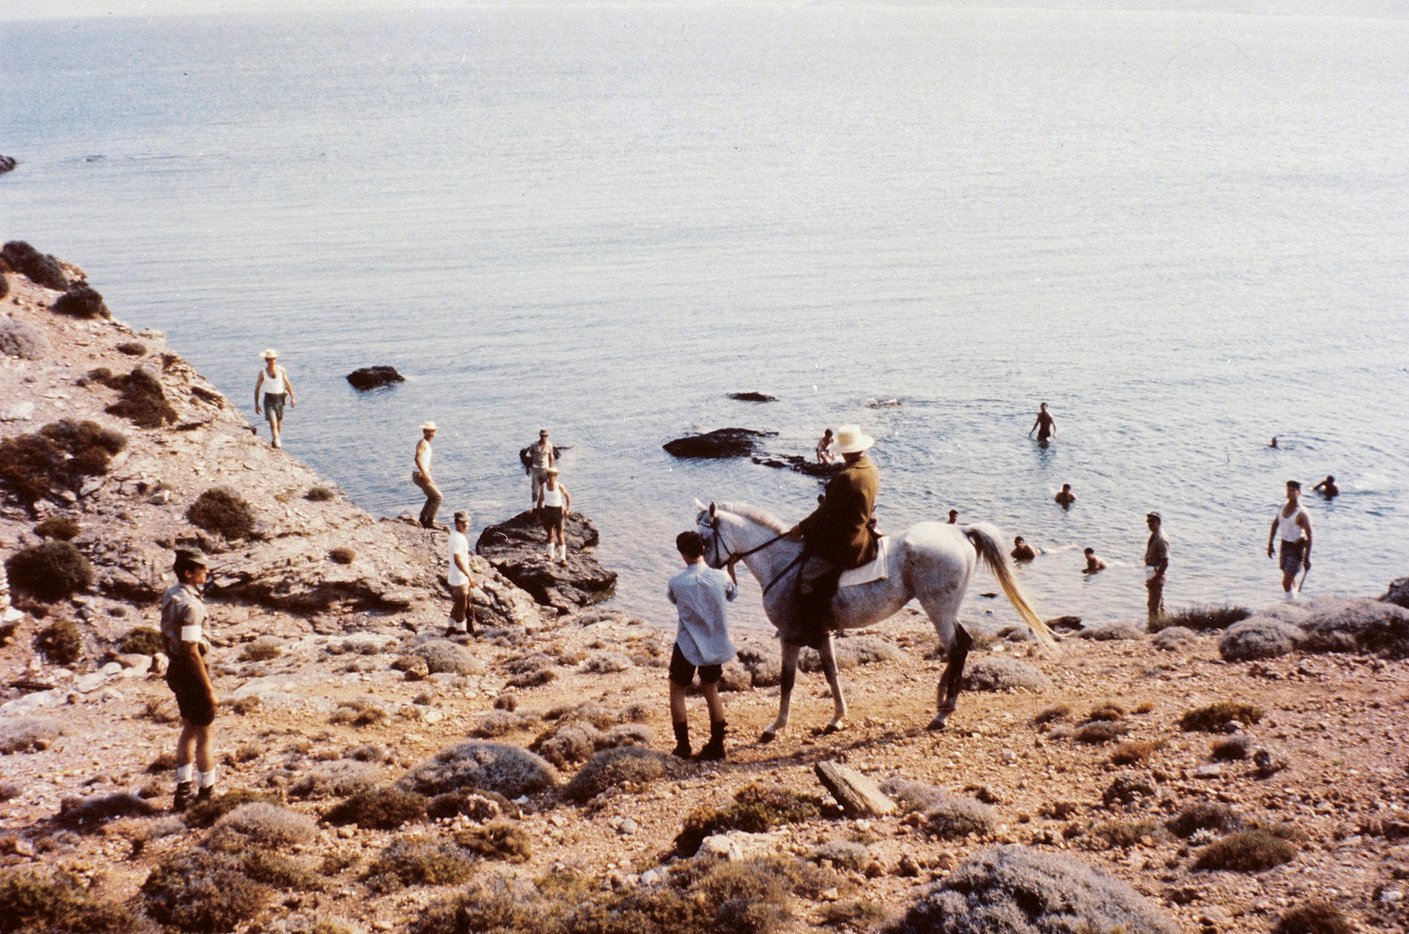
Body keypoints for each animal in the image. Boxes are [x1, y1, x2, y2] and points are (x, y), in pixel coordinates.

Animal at [698, 501, 1053, 743]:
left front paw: (775, 726)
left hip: (938, 608)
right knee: (962, 645)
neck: (782, 563)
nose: (709, 571)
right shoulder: (822, 634)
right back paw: (943, 702)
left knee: (956, 648)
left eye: (703, 540)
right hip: (946, 609)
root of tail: (959, 531)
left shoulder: (789, 634)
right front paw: (837, 719)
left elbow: (787, 681)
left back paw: (943, 712)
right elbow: (832, 674)